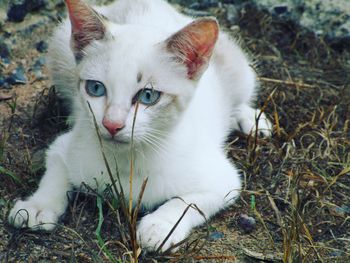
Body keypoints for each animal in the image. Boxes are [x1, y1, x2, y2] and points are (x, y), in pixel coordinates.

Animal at [7, 0, 270, 253]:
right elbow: (55, 172)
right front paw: (38, 206)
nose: (111, 125)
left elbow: (187, 202)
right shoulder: (65, 146)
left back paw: (250, 120)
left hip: (240, 69)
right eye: (95, 88)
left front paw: (161, 226)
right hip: (60, 49)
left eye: (148, 96)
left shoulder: (224, 181)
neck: (129, 160)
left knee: (241, 95)